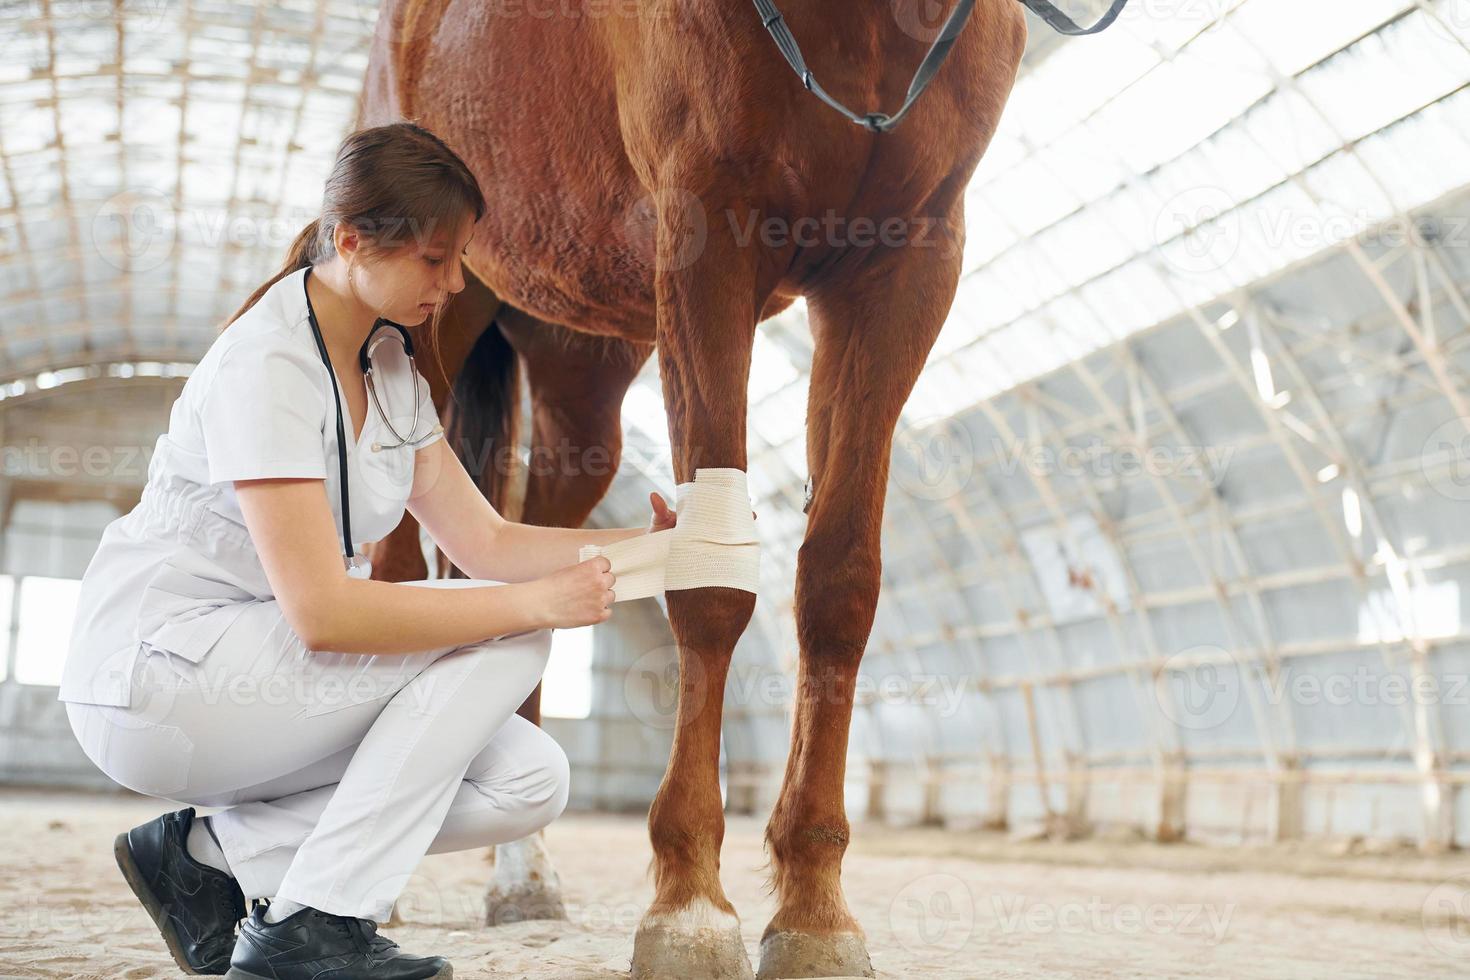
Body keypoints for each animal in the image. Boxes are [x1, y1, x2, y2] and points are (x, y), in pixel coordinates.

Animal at [354, 0, 1046, 975]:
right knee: (391, 566)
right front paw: (689, 906)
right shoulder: (706, 244)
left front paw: (815, 911)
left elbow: (839, 581)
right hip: (430, 316)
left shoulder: (903, 269)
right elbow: (712, 585)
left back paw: (522, 874)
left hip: (578, 370)